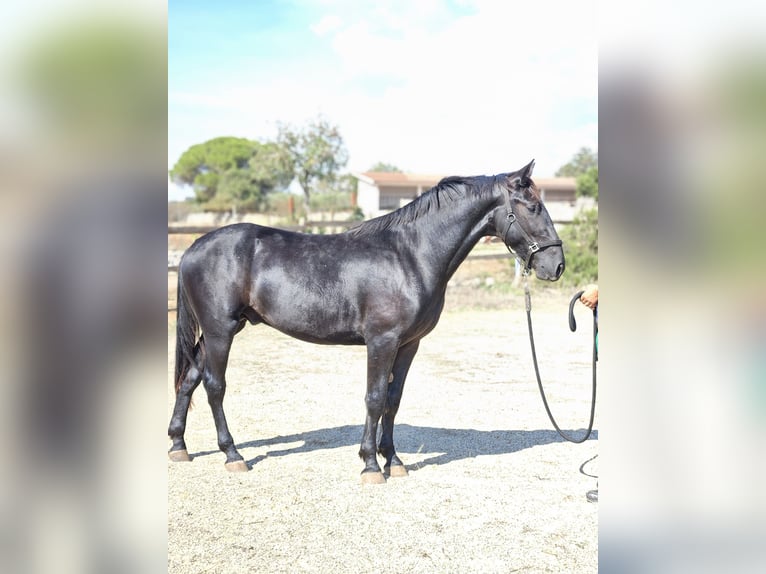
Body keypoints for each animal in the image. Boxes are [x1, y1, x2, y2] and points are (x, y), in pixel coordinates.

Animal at [170, 160, 564, 484]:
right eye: (533, 206)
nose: (556, 265)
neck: (410, 255)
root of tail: (192, 248)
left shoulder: (408, 345)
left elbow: (393, 399)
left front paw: (394, 461)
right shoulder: (382, 341)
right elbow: (374, 399)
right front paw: (371, 465)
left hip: (220, 330)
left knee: (189, 379)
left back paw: (178, 446)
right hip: (221, 330)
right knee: (214, 385)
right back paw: (232, 454)